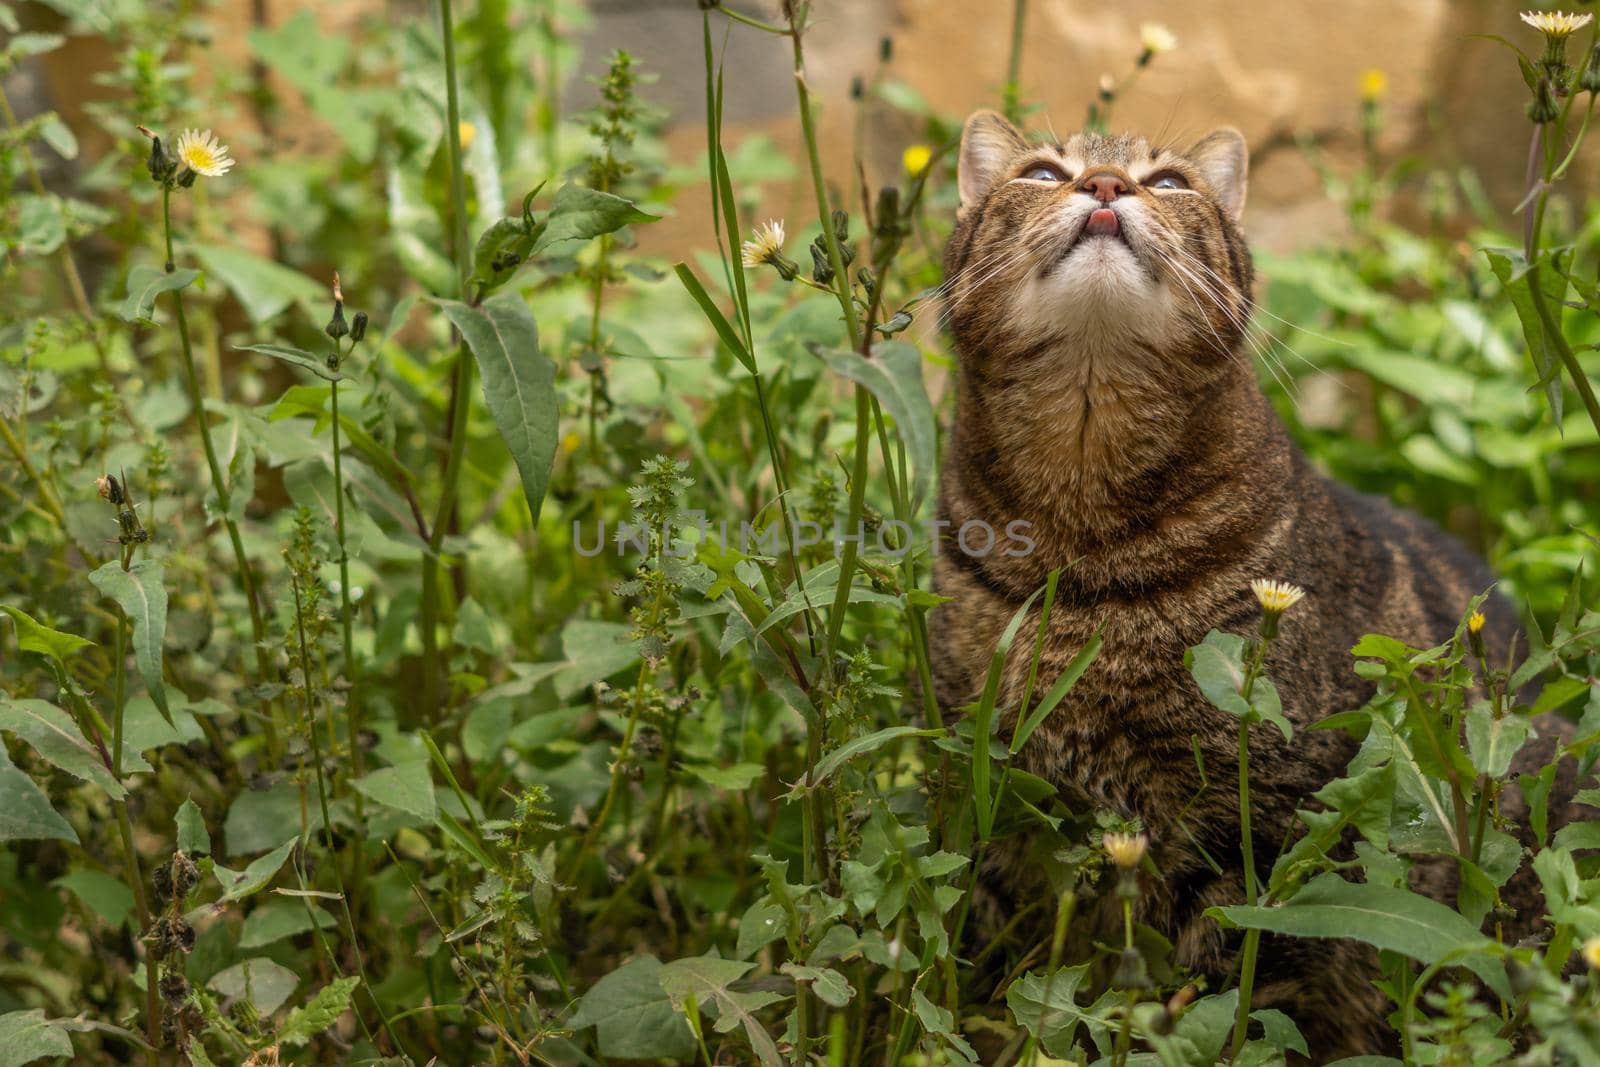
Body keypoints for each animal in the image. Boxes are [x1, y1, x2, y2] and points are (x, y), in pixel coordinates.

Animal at [934, 112, 1580, 1062]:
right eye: (1043, 172)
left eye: (1169, 182)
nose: (1102, 184)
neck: (1079, 536)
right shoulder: (995, 799)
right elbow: (992, 967)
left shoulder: (1268, 829)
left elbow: (1228, 988)